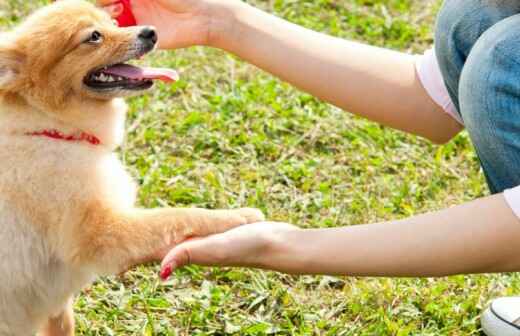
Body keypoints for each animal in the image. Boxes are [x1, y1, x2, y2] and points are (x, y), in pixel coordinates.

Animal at [0, 1, 264, 334]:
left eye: (113, 22)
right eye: (94, 36)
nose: (150, 31)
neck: (51, 129)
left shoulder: (57, 304)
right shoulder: (103, 233)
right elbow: (178, 216)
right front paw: (239, 216)